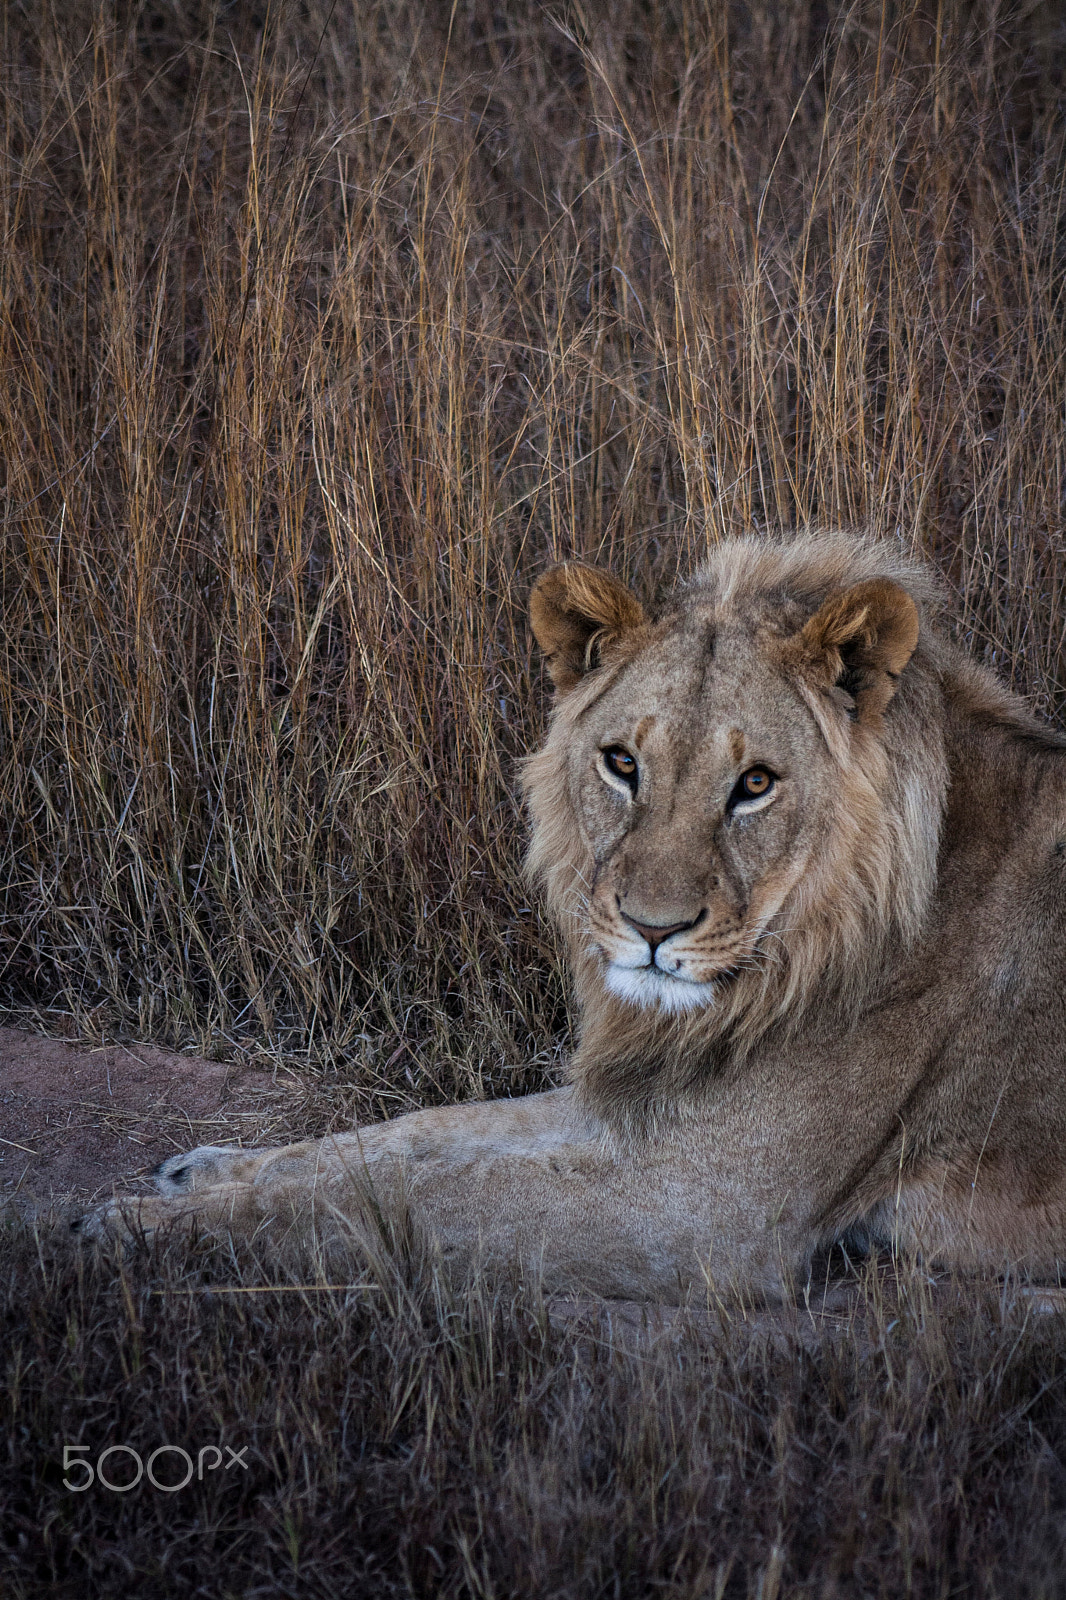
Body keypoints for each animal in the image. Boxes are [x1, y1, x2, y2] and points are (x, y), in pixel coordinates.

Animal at [79, 531, 1066, 1301]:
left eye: (755, 784)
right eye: (622, 763)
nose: (653, 930)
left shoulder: (697, 1213)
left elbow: (415, 1196)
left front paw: (134, 1230)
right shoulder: (640, 1103)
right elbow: (418, 1137)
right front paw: (200, 1172)